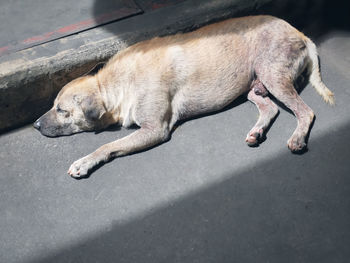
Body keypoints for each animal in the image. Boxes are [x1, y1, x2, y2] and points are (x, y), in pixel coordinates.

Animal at [33, 15, 334, 178]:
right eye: (54, 106)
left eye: (62, 111)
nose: (35, 125)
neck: (116, 83)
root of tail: (299, 32)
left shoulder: (154, 129)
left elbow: (106, 145)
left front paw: (84, 162)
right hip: (254, 87)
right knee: (271, 109)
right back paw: (256, 132)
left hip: (273, 76)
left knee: (306, 112)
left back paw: (297, 138)